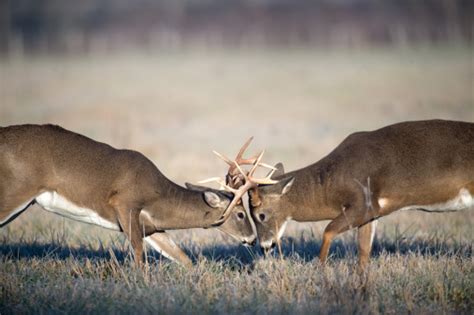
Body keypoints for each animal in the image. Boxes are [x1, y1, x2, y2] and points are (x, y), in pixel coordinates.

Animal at [0, 124, 264, 268]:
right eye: (241, 213)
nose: (252, 239)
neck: (158, 196)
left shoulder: (152, 226)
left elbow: (182, 258)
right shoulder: (125, 204)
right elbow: (139, 256)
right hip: (15, 190)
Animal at [215, 119, 474, 270]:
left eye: (261, 215)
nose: (264, 246)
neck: (332, 183)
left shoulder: (363, 203)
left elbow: (328, 231)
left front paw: (320, 271)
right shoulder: (372, 213)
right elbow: (363, 252)